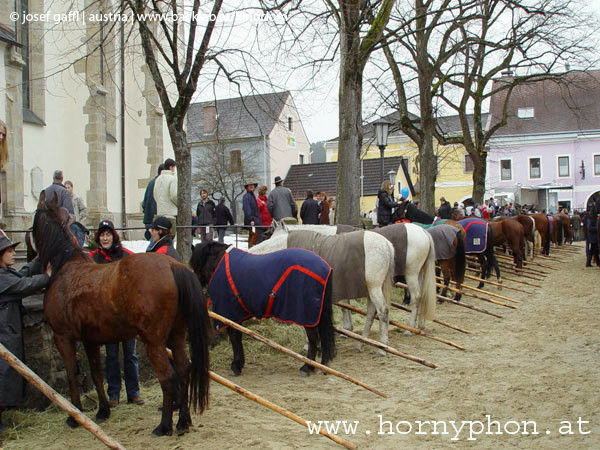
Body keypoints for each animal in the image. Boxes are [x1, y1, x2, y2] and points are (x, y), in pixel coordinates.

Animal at [32, 192, 213, 436]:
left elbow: (71, 374)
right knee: (184, 370)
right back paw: (183, 421)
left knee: (168, 378)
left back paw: (164, 426)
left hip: (154, 342)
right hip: (176, 335)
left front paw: (74, 415)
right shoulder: (90, 340)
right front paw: (103, 410)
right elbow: (97, 373)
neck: (66, 267)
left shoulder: (63, 338)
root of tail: (173, 266)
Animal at [190, 243, 336, 376]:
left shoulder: (231, 315)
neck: (220, 262)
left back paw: (307, 367)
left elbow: (234, 338)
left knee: (313, 339)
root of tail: (325, 267)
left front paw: (236, 365)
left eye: (196, 267)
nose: (199, 290)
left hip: (307, 316)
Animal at [250, 225, 396, 356]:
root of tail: (386, 244)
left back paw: (382, 349)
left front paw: (310, 345)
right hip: (371, 289)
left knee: (382, 312)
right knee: (371, 314)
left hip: (374, 287)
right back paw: (361, 344)